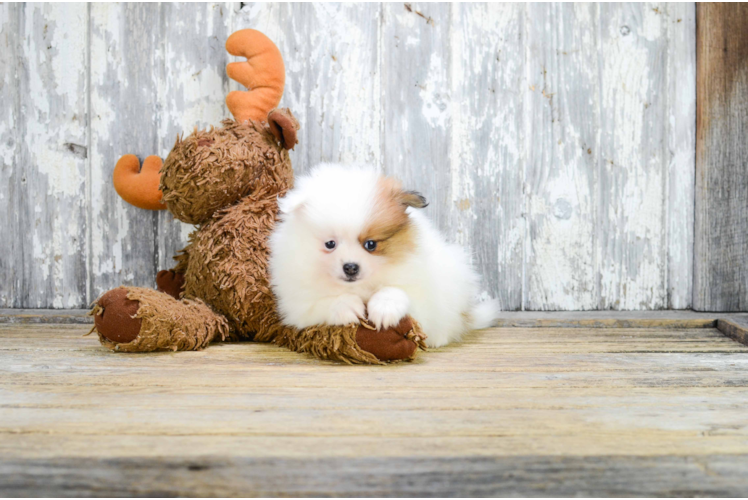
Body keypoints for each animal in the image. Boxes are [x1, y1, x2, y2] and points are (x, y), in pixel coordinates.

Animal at [268, 164, 496, 348]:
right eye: (330, 244)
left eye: (371, 244)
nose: (350, 267)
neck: (359, 287)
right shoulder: (298, 306)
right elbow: (325, 302)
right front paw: (346, 305)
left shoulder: (419, 290)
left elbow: (397, 291)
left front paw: (385, 308)